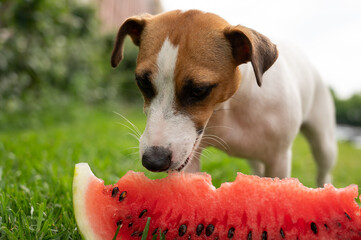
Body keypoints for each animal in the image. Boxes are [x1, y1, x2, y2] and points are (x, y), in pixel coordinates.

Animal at [111, 9, 336, 188]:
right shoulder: (191, 156)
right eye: (143, 82)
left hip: (324, 144)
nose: (153, 161)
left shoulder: (279, 160)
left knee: (324, 168)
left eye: (199, 90)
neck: (228, 107)